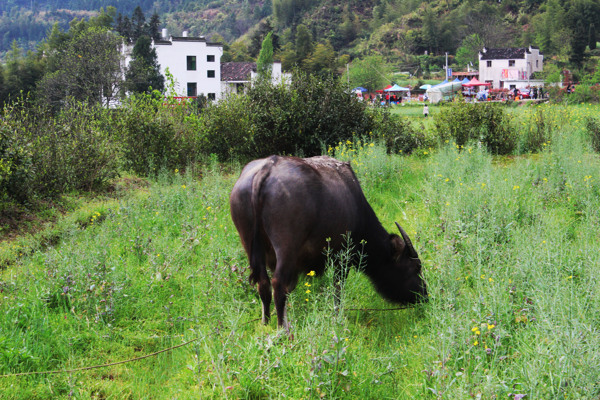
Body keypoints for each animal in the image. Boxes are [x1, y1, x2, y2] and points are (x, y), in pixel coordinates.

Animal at [229, 155, 426, 332]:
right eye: (416, 267)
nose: (424, 295)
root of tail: (267, 168)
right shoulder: (342, 258)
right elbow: (338, 289)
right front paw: (337, 317)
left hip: (250, 245)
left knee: (263, 283)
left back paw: (266, 322)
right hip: (286, 248)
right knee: (278, 285)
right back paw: (283, 328)